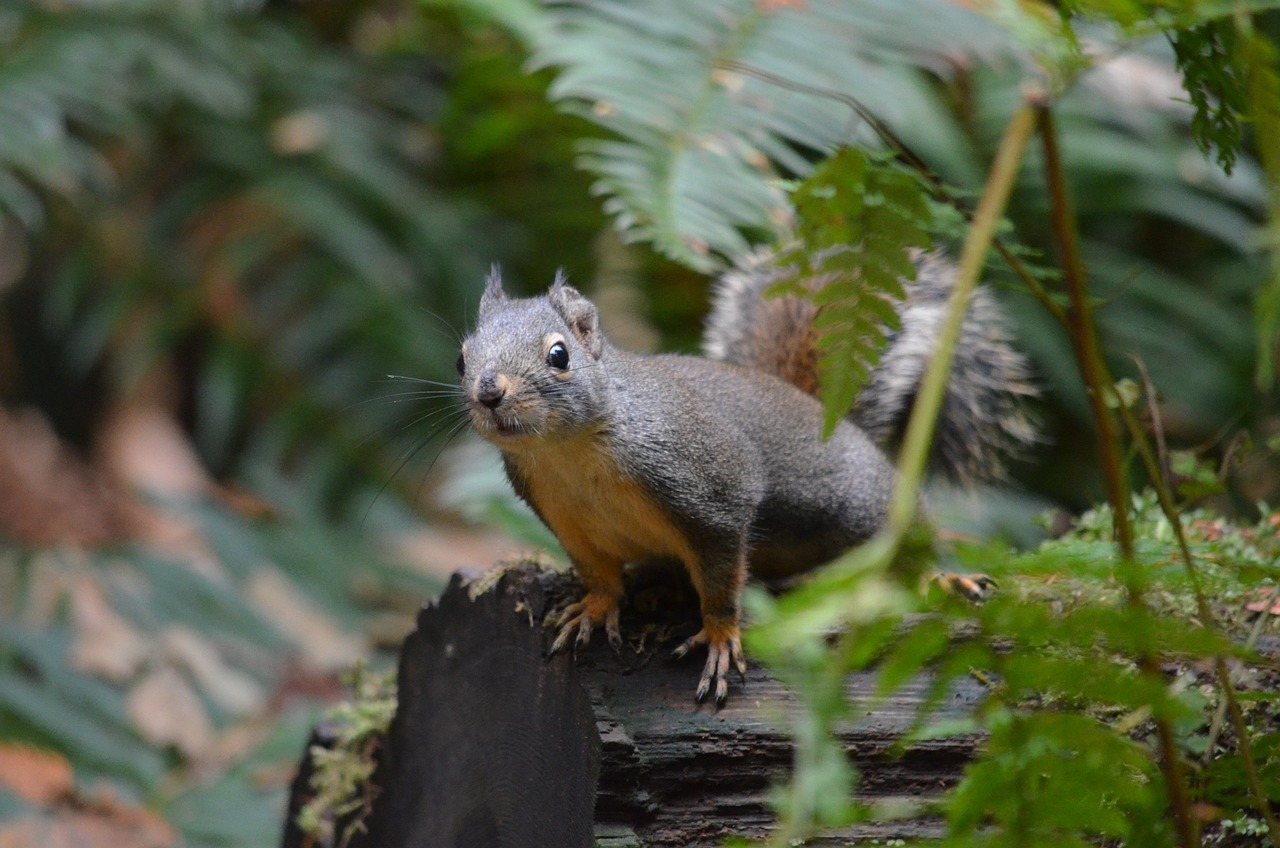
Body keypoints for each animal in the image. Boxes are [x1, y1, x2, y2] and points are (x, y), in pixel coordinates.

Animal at [460, 251, 1039, 701]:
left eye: (559, 355)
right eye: (463, 357)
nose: (489, 392)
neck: (567, 453)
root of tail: (826, 415)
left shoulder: (710, 489)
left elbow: (720, 577)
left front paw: (719, 636)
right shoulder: (564, 517)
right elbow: (598, 572)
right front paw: (595, 609)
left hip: (861, 502)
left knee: (905, 538)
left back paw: (939, 577)